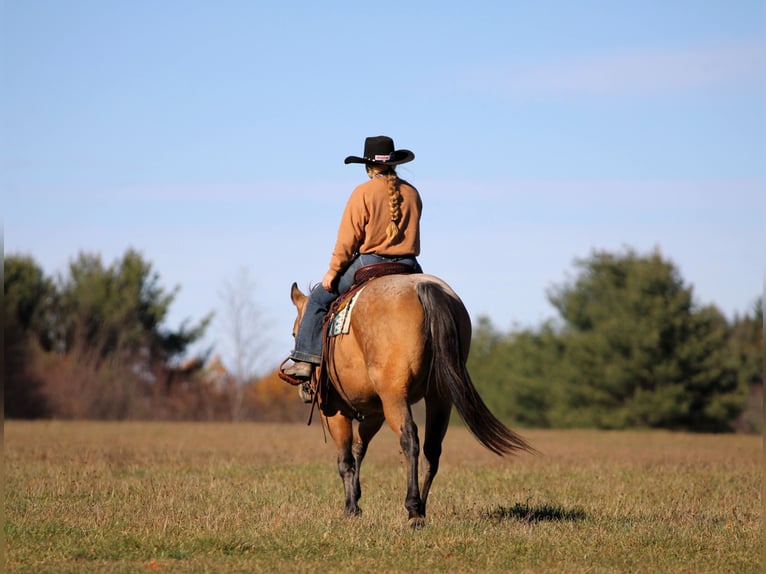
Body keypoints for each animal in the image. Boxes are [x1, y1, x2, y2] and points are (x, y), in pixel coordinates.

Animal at [288, 272, 535, 528]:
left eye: (295, 333)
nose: (304, 388)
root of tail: (426, 288)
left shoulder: (335, 411)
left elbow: (345, 459)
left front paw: (351, 508)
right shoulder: (376, 413)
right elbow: (359, 448)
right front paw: (356, 497)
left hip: (395, 396)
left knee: (409, 439)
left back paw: (413, 508)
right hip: (439, 397)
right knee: (431, 448)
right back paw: (421, 509)